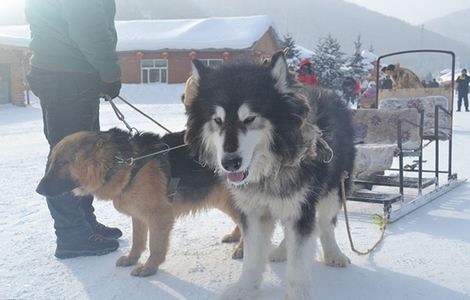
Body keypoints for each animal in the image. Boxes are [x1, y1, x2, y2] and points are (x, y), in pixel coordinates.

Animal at [35, 127, 244, 276]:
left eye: (61, 164)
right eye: (50, 163)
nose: (38, 190)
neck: (120, 163)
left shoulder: (159, 218)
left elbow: (155, 246)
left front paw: (149, 268)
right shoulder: (139, 217)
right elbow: (138, 241)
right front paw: (131, 259)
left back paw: (241, 249)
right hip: (224, 201)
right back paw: (235, 237)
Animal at [185, 52, 354, 298]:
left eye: (249, 119)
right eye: (217, 120)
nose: (230, 163)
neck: (271, 169)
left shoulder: (301, 208)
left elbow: (299, 262)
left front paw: (297, 294)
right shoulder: (253, 212)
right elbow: (252, 257)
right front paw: (245, 288)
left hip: (333, 190)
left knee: (325, 223)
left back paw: (333, 254)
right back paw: (283, 250)